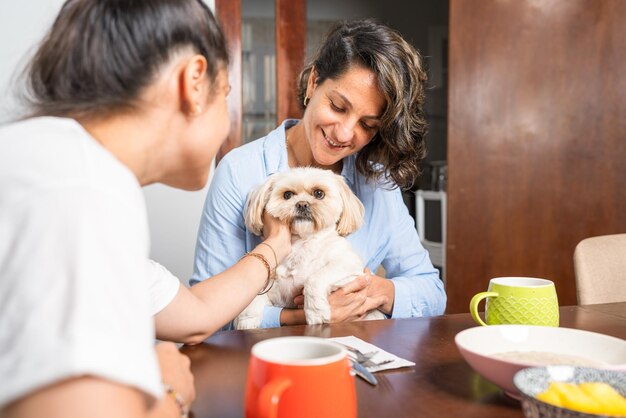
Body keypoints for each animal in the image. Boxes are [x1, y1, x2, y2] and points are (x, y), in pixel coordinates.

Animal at [233, 167, 382, 330]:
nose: (302, 204)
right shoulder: (274, 286)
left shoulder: (350, 265)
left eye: (319, 193)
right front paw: (247, 320)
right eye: (287, 195)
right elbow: (255, 293)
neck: (301, 243)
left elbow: (315, 279)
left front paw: (316, 312)